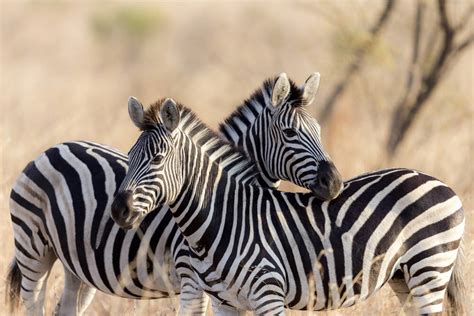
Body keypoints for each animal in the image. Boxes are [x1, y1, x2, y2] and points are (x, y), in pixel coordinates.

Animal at [5, 73, 342, 314]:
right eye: (290, 133)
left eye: (319, 130)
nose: (335, 182)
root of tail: (52, 148)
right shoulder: (194, 280)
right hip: (33, 250)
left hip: (77, 267)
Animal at [110, 97, 462, 314]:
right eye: (129, 156)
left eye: (157, 159)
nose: (118, 211)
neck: (226, 218)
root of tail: (439, 181)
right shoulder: (225, 303)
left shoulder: (269, 296)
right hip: (405, 278)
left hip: (430, 267)